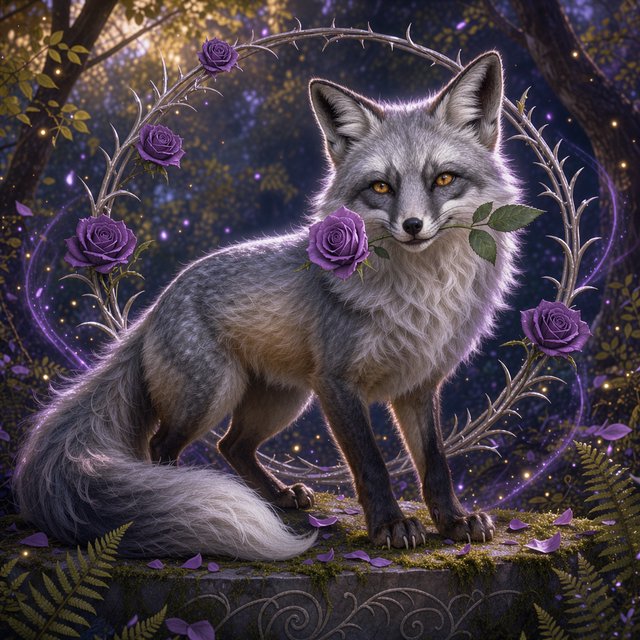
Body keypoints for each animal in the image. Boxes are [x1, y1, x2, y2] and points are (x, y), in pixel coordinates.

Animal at [14, 51, 520, 560]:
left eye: (444, 179)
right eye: (380, 187)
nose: (412, 226)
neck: (421, 297)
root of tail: (157, 303)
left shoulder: (419, 384)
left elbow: (435, 463)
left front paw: (453, 522)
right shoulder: (337, 384)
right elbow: (371, 464)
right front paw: (390, 526)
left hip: (282, 400)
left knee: (232, 446)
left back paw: (276, 496)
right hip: (212, 394)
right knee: (163, 446)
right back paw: (178, 501)